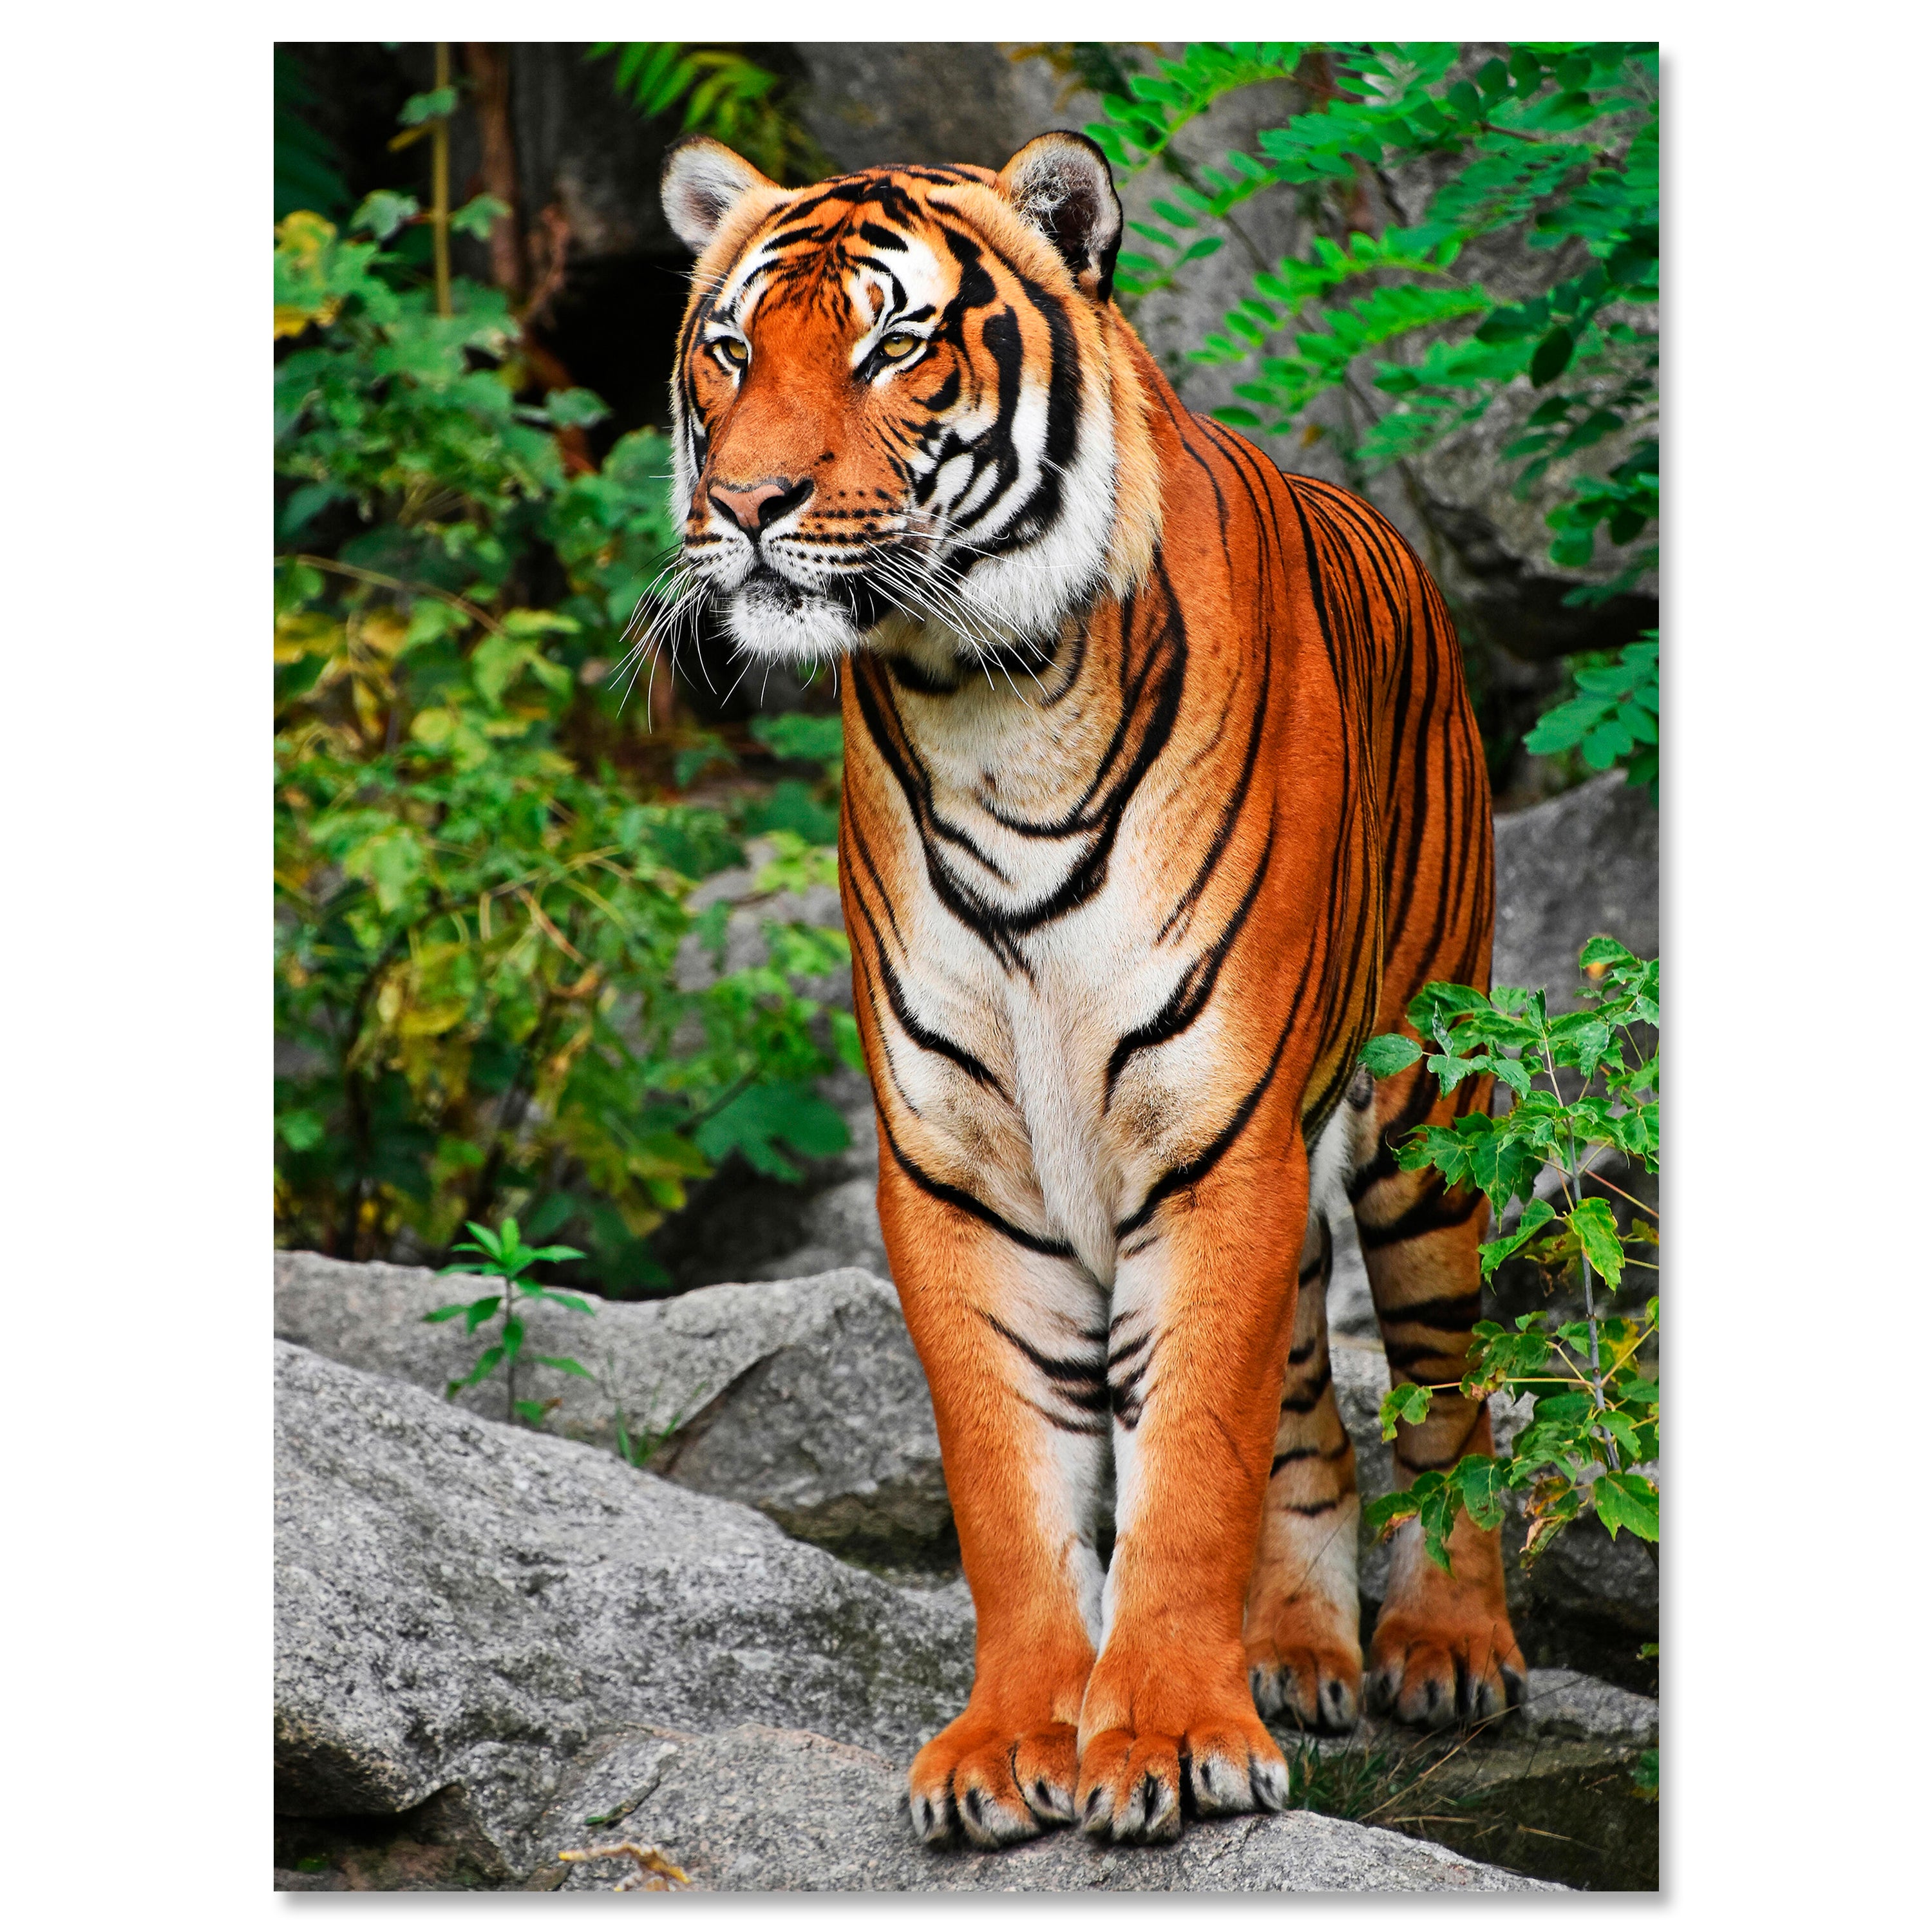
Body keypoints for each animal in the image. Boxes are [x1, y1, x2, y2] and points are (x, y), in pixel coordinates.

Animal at [658, 128, 1524, 1849]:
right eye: (728, 348)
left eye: (892, 344)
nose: (747, 504)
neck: (982, 703)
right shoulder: (956, 1164)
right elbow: (1014, 1482)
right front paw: (1011, 1745)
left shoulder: (1218, 1137)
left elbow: (1184, 1462)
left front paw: (1170, 1738)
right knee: (1311, 1406)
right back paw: (1298, 1651)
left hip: (1420, 1121)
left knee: (1446, 1388)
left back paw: (1448, 1647)